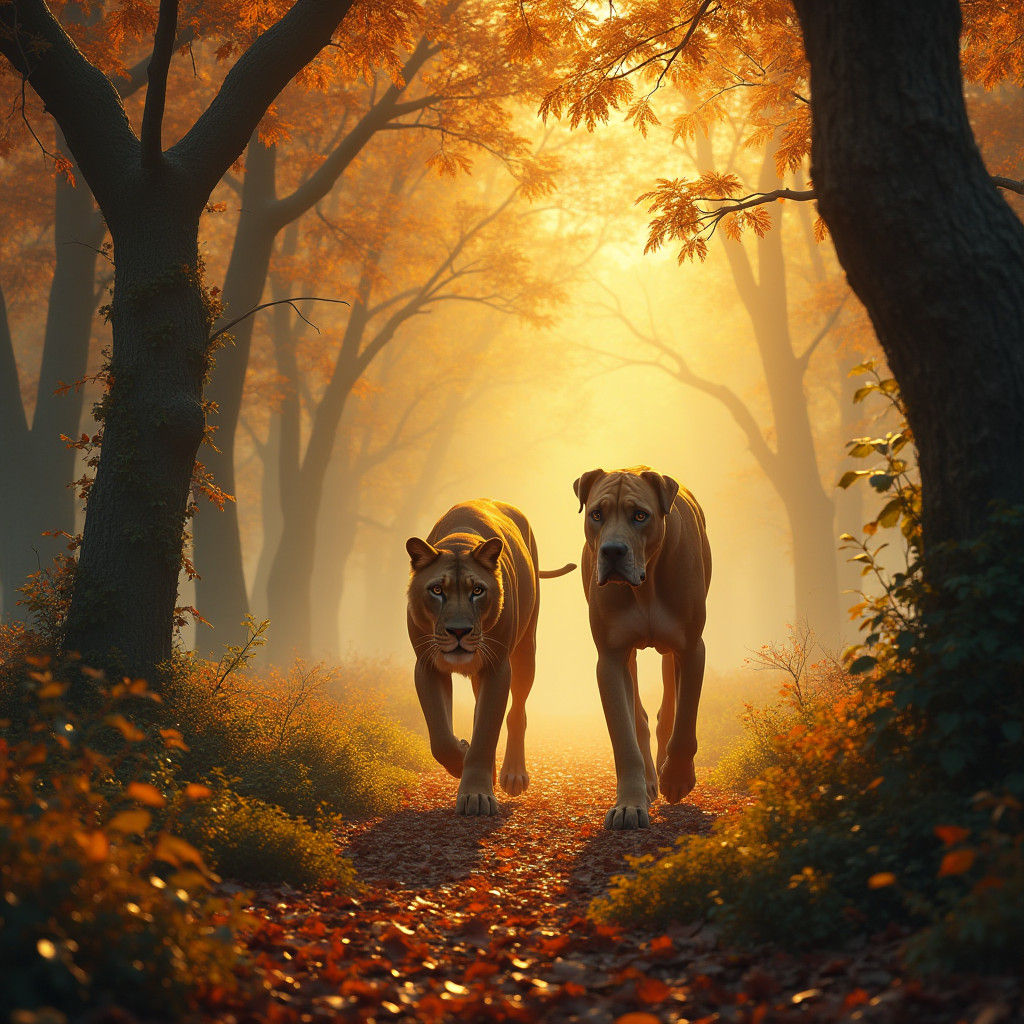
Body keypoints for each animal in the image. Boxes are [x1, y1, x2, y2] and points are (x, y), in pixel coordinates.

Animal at [406, 499, 575, 816]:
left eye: (477, 590)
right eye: (437, 590)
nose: (459, 631)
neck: (459, 543)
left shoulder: (498, 667)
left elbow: (486, 730)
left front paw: (476, 794)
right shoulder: (427, 666)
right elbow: (440, 737)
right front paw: (461, 756)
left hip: (525, 653)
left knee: (516, 712)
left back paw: (513, 775)